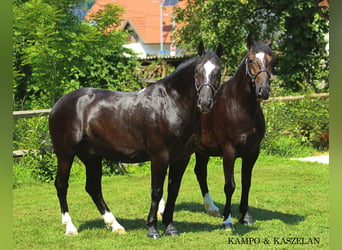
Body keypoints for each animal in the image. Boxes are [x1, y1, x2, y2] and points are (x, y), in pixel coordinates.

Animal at [49, 41, 223, 238]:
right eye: (198, 71)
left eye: (218, 72)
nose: (205, 103)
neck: (170, 104)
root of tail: (59, 104)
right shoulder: (159, 157)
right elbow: (156, 191)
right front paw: (152, 229)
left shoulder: (181, 158)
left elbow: (173, 190)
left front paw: (170, 227)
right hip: (65, 153)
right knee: (61, 185)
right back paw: (70, 227)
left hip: (91, 157)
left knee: (93, 188)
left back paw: (115, 225)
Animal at [194, 34, 274, 230]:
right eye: (251, 60)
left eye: (272, 61)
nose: (263, 90)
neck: (239, 106)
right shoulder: (229, 151)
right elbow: (229, 185)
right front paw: (228, 221)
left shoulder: (252, 152)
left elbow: (246, 182)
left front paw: (245, 216)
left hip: (202, 150)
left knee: (200, 172)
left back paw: (212, 208)